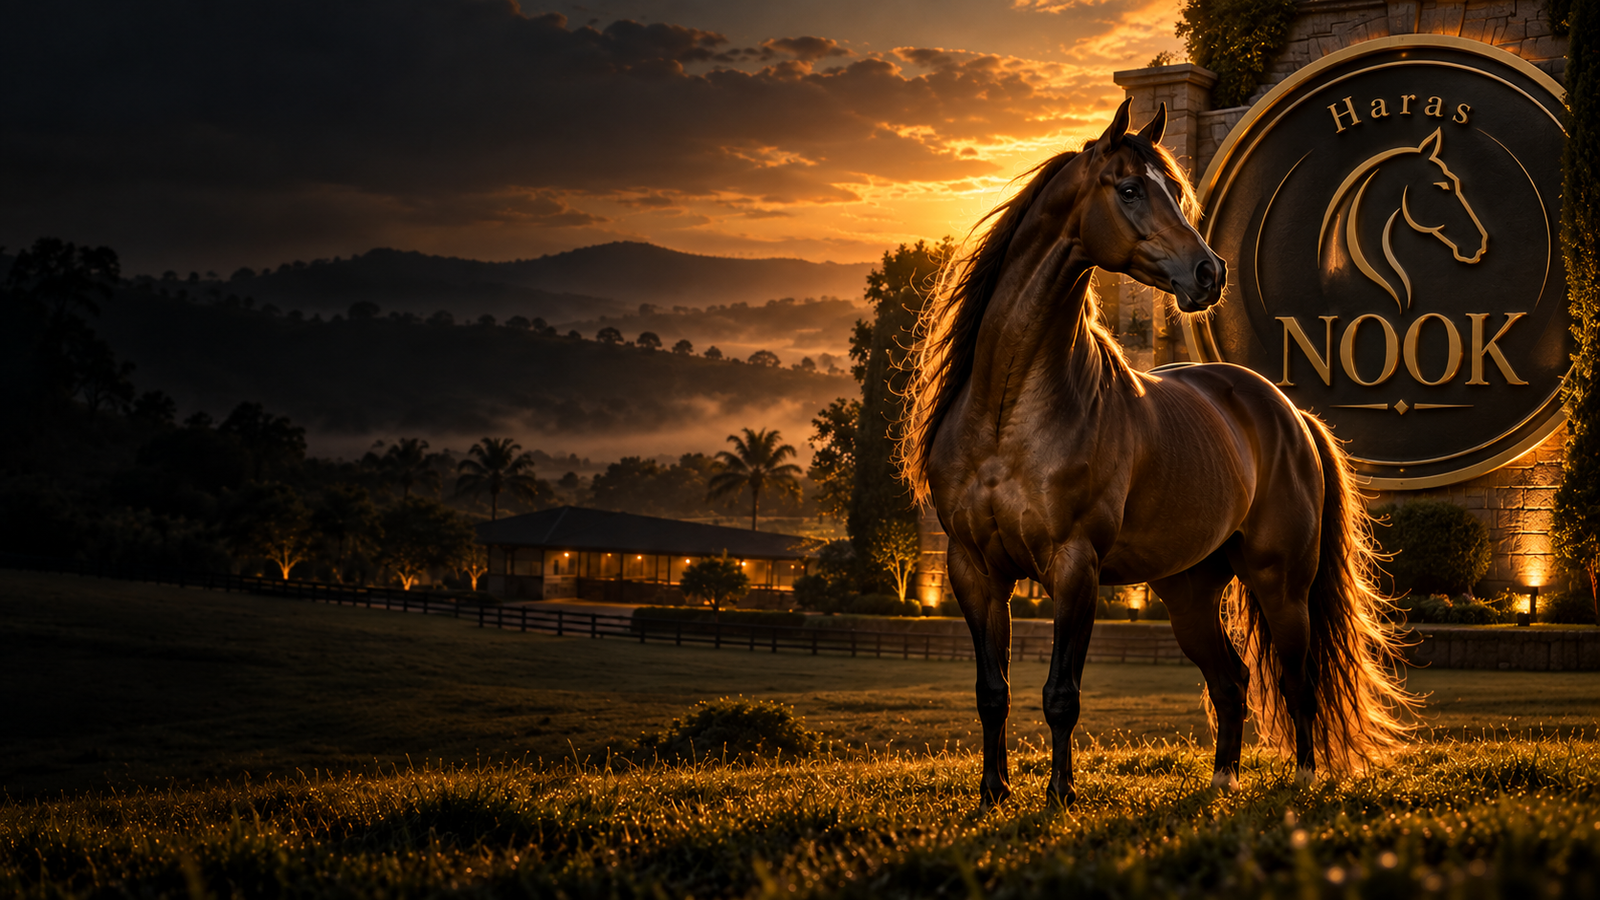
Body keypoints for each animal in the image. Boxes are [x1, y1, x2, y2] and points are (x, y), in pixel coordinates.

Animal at [900, 99, 1418, 807]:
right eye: (1128, 189)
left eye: (1174, 190)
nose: (1209, 273)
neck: (1008, 414)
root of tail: (1290, 415)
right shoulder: (973, 569)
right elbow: (992, 692)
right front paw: (993, 796)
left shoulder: (1075, 567)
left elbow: (1061, 694)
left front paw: (1060, 798)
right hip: (1189, 593)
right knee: (1230, 682)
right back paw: (1222, 780)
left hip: (1281, 584)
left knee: (1296, 681)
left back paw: (1303, 780)